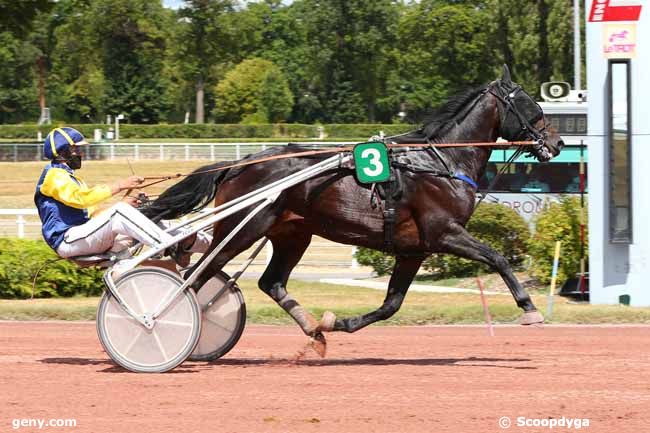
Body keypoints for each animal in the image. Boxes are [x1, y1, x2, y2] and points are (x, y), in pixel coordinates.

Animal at [142, 66, 560, 352]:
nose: (556, 143)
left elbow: (391, 304)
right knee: (196, 275)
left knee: (270, 281)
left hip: (293, 233)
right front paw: (530, 309)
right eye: (530, 105)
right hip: (244, 227)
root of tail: (240, 163)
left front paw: (337, 323)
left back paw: (313, 329)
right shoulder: (445, 233)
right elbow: (497, 257)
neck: (438, 162)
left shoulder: (414, 249)